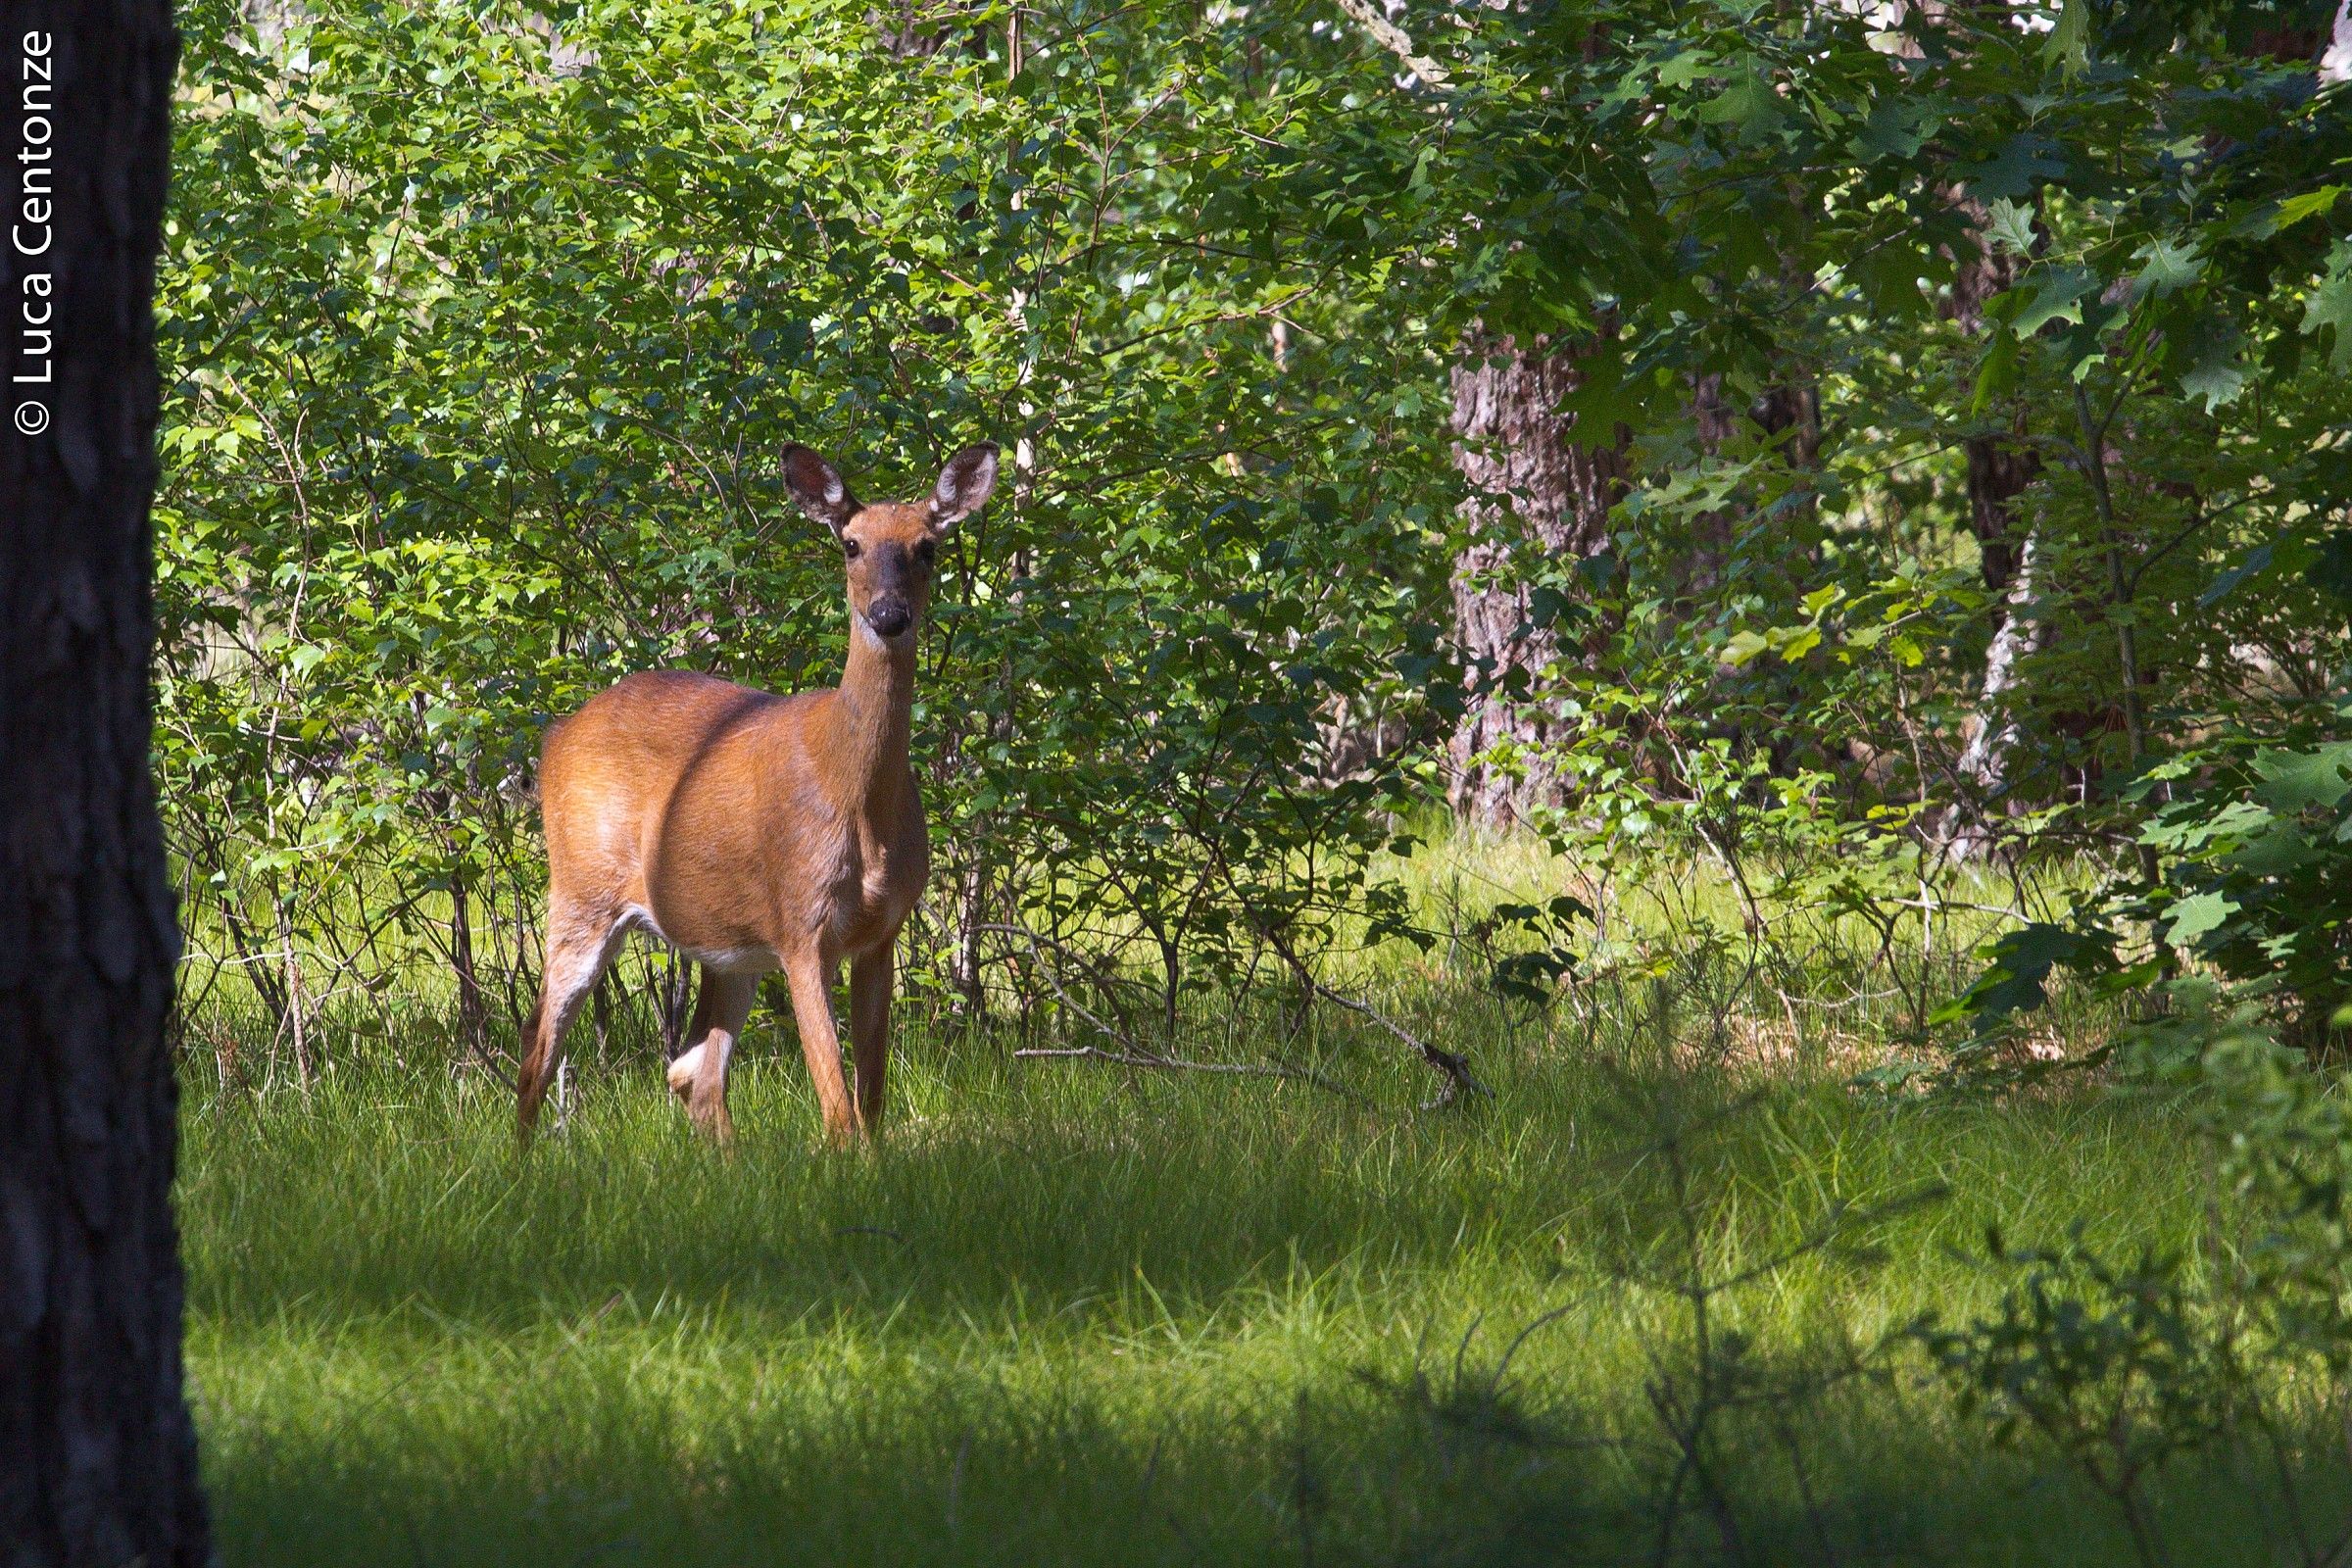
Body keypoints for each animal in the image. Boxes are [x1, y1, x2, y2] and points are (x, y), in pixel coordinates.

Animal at [514, 441, 999, 1145]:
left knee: (692, 1071)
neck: (855, 797)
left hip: (727, 947)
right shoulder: (801, 926)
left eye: (927, 546)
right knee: (539, 1046)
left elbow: (871, 1102)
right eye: (850, 544)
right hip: (582, 889)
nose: (889, 615)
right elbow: (839, 1110)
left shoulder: (880, 934)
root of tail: (554, 736)